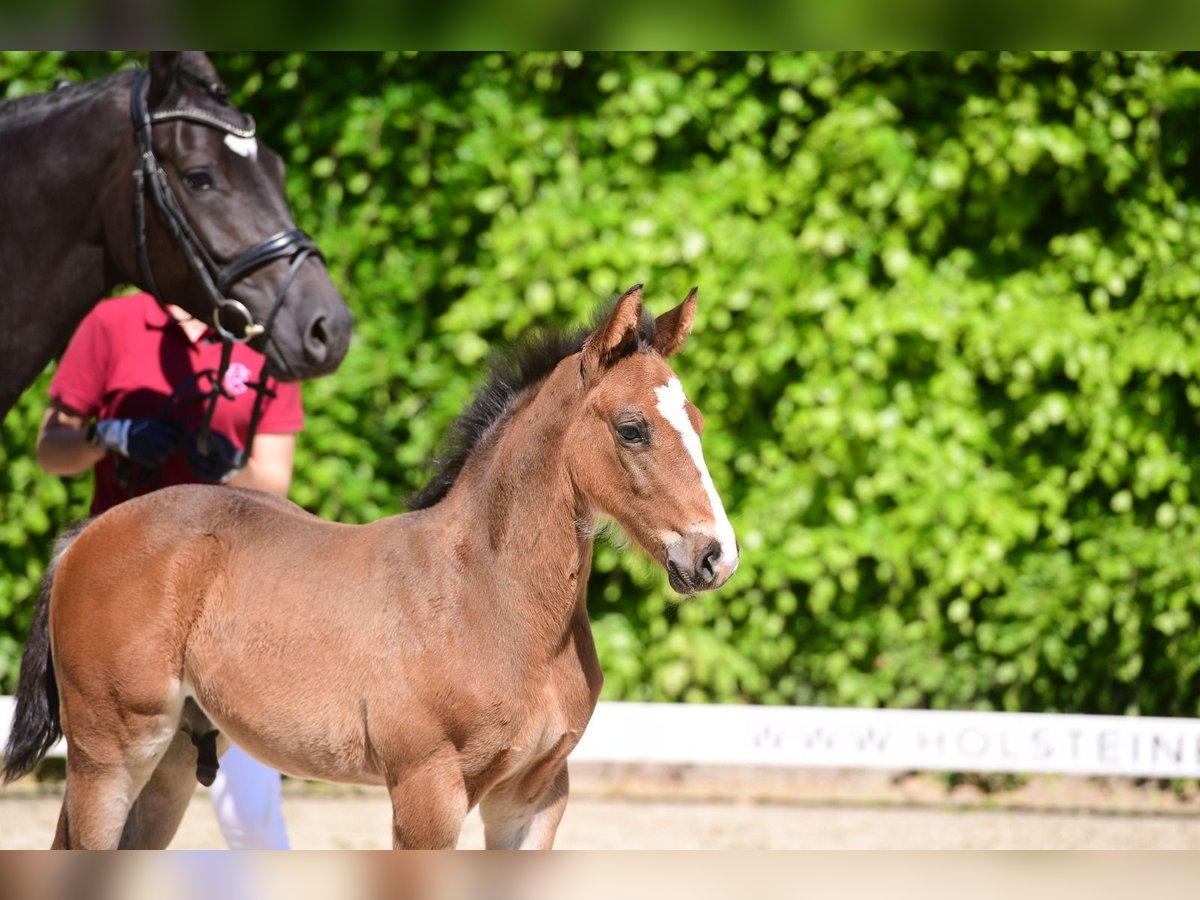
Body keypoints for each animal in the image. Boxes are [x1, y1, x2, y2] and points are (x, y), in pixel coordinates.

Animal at [0, 285, 734, 849]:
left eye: (698, 421)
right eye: (632, 428)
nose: (715, 556)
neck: (494, 598)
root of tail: (90, 532)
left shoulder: (536, 797)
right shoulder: (427, 791)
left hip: (172, 759)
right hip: (112, 750)